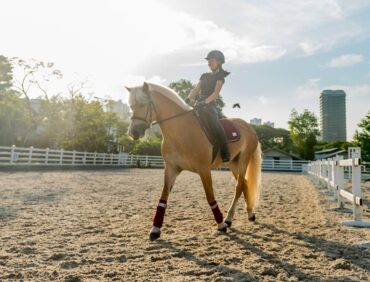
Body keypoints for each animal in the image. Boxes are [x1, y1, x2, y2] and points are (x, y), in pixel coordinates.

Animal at [125, 81, 262, 240]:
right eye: (131, 106)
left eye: (143, 104)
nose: (133, 132)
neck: (181, 130)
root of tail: (250, 128)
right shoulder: (171, 168)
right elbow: (163, 197)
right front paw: (155, 229)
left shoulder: (204, 169)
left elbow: (210, 196)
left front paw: (221, 224)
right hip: (233, 163)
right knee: (244, 184)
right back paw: (250, 214)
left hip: (243, 161)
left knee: (239, 187)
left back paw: (228, 218)